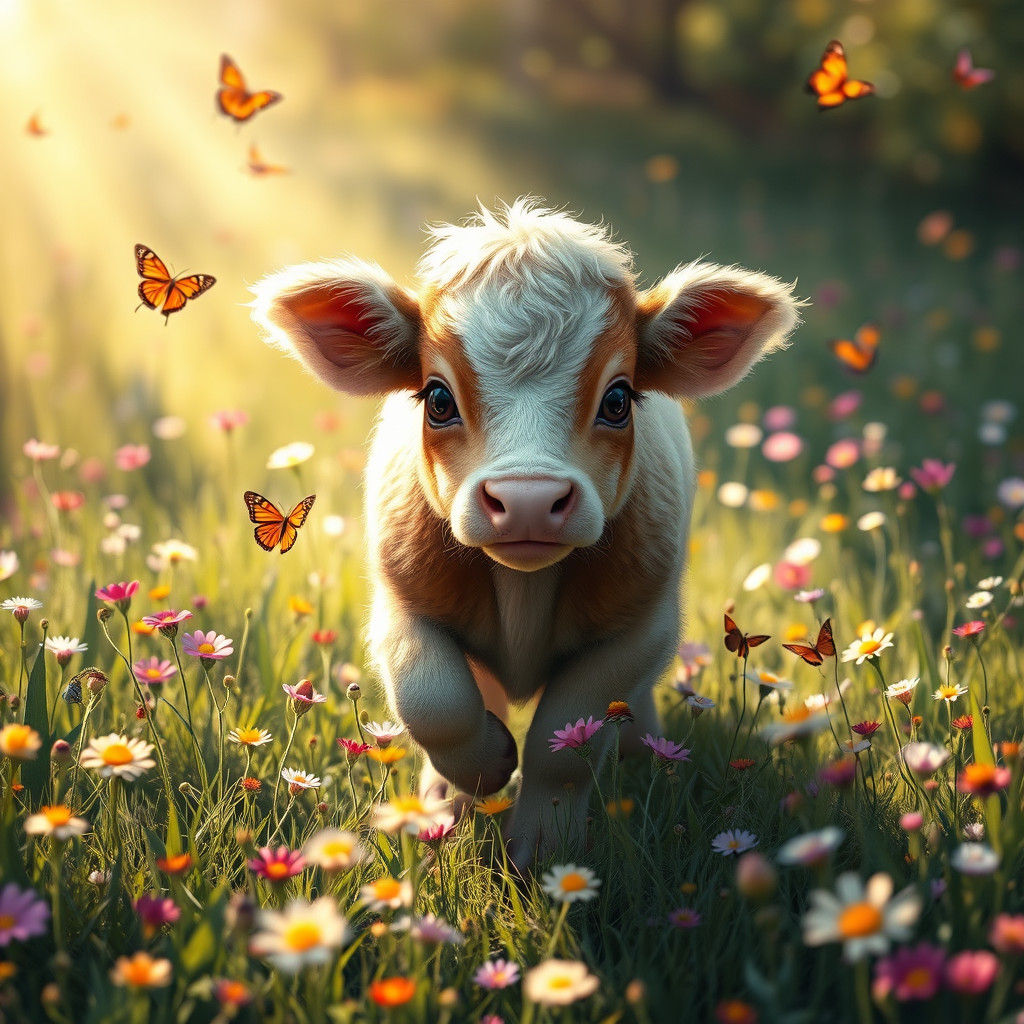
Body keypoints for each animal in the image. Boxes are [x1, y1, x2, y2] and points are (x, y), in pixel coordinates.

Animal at [252, 199, 801, 866]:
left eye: (619, 399)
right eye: (437, 398)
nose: (529, 500)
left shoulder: (642, 626)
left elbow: (566, 745)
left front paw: (544, 847)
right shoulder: (400, 606)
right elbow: (435, 702)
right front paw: (479, 775)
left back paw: (642, 749)